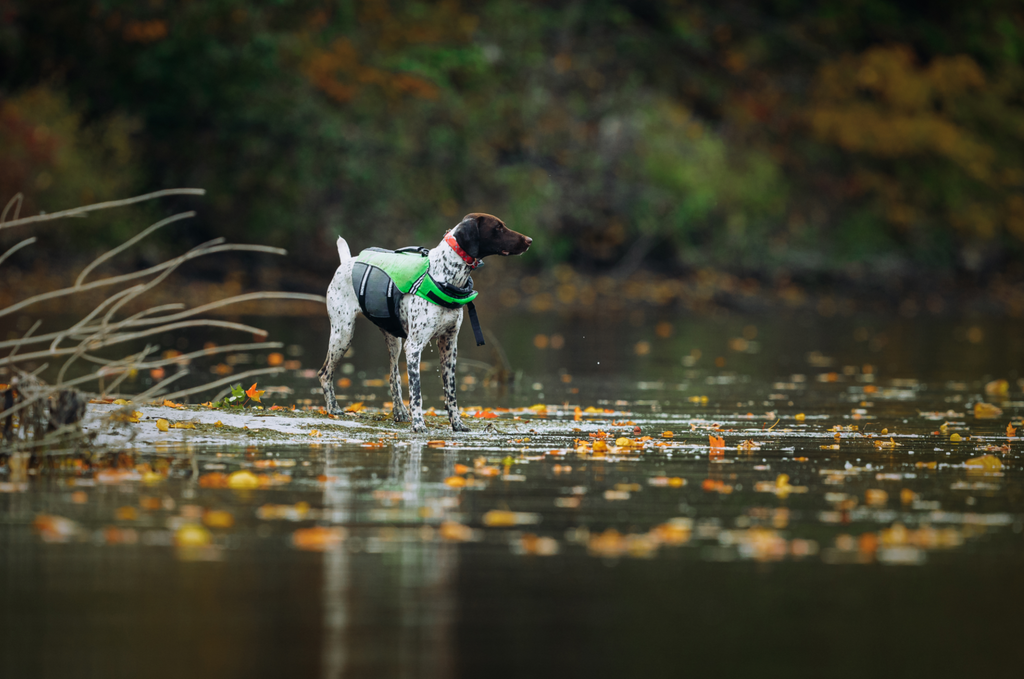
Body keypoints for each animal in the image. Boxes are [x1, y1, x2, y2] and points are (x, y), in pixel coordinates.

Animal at [317, 215, 528, 432]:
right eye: (498, 228)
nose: (529, 240)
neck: (445, 275)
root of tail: (346, 262)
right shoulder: (414, 346)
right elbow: (417, 393)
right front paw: (419, 423)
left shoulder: (449, 346)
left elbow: (451, 393)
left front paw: (457, 424)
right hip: (343, 335)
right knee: (325, 373)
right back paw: (334, 409)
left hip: (393, 340)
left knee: (393, 377)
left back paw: (399, 412)